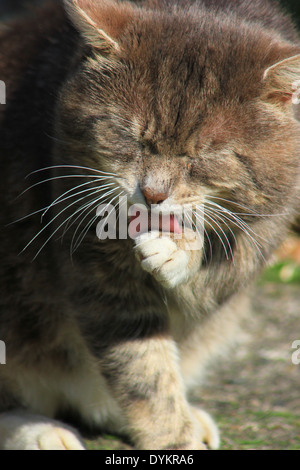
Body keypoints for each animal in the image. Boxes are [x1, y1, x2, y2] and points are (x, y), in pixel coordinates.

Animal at [0, 0, 300, 450]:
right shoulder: (98, 267)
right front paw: (174, 437)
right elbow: (144, 370)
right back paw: (40, 430)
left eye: (202, 155)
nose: (153, 193)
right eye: (131, 138)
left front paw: (178, 250)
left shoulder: (269, 223)